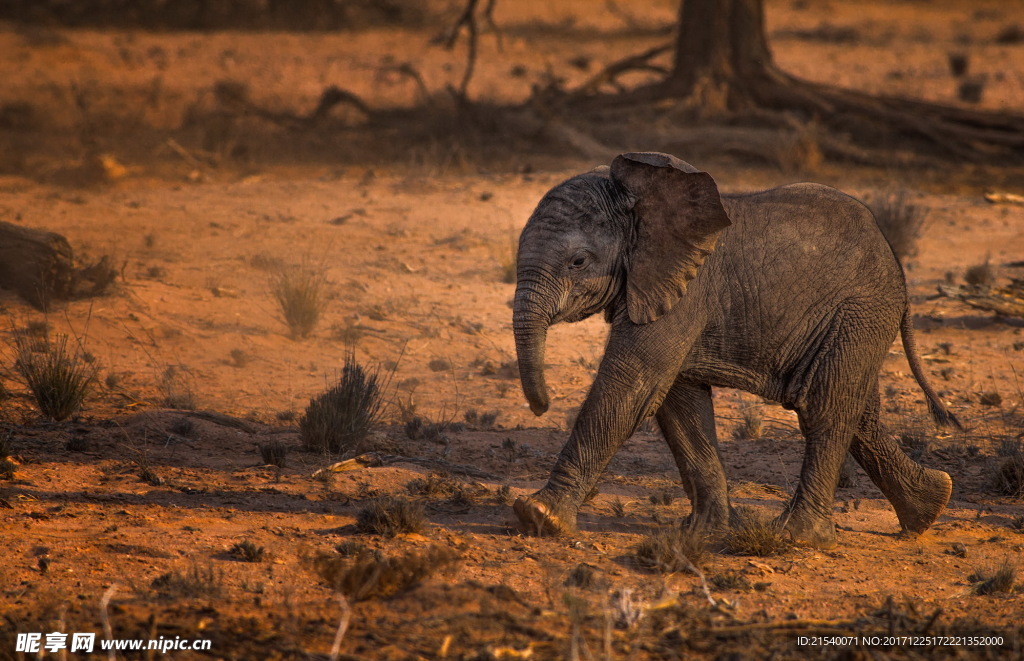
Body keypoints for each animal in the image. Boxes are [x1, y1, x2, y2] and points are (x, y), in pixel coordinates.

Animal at [516, 151, 954, 548]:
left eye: (578, 261)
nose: (542, 406)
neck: (639, 197)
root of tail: (896, 262)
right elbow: (679, 404)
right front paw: (705, 532)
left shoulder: (688, 290)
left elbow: (632, 386)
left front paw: (540, 516)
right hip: (856, 322)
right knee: (859, 411)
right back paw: (930, 508)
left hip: (859, 311)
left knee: (824, 408)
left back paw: (798, 536)